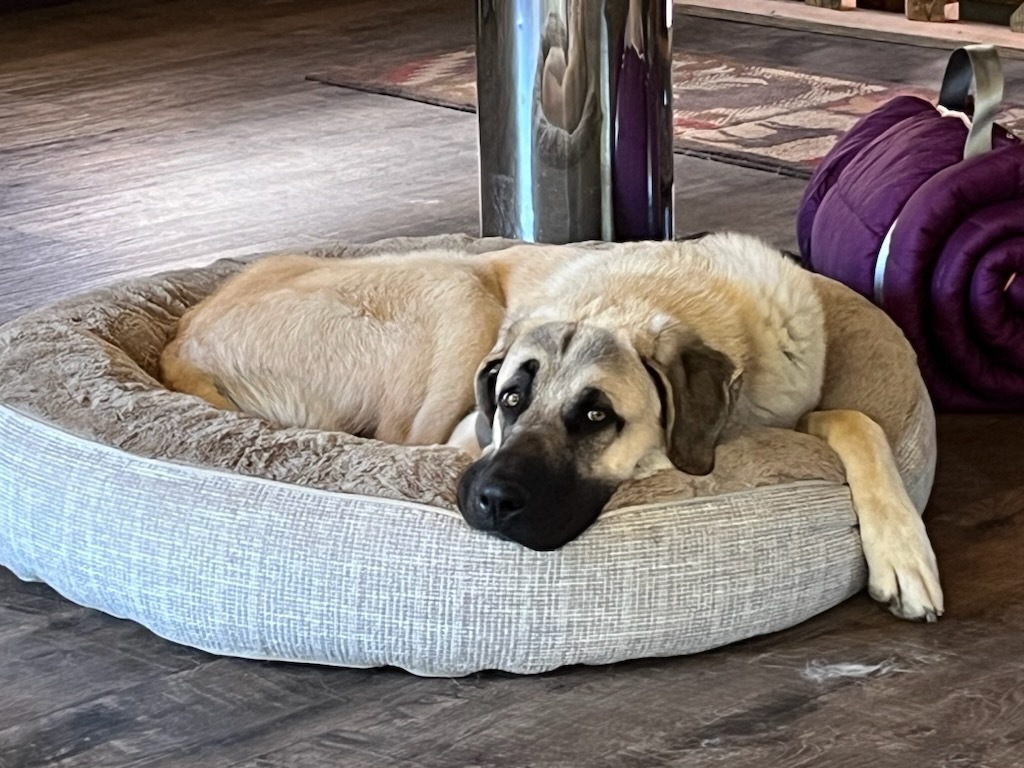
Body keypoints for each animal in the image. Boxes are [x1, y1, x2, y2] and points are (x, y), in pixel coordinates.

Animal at [157, 231, 942, 622]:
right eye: (509, 399)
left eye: (596, 415)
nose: (492, 502)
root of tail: (181, 339)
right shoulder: (466, 432)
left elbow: (856, 417)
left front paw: (903, 550)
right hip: (457, 284)